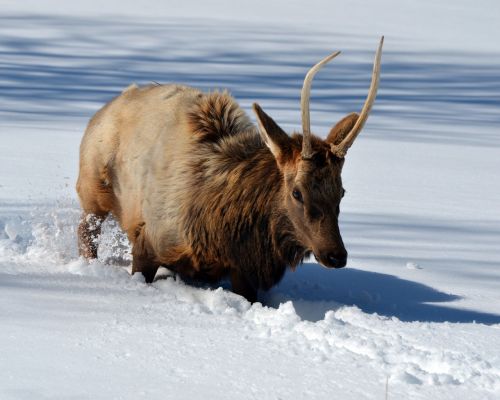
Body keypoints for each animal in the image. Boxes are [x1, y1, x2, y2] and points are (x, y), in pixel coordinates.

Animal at [77, 37, 382, 302]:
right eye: (297, 193)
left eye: (341, 192)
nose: (336, 255)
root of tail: (105, 108)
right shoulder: (149, 242)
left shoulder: (243, 271)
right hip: (92, 191)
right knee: (85, 233)